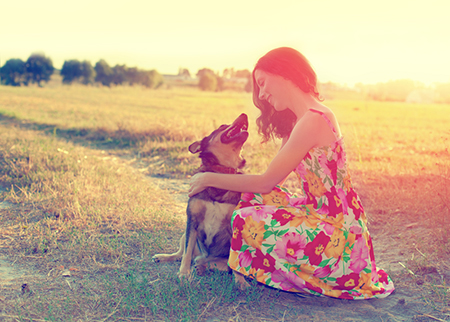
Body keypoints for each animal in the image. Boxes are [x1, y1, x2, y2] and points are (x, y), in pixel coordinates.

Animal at [151, 114, 250, 290]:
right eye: (222, 125)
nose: (244, 115)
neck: (221, 171)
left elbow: (235, 263)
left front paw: (240, 281)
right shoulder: (192, 220)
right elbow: (186, 253)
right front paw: (184, 274)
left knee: (213, 264)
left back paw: (201, 266)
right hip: (185, 234)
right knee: (181, 254)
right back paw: (165, 257)